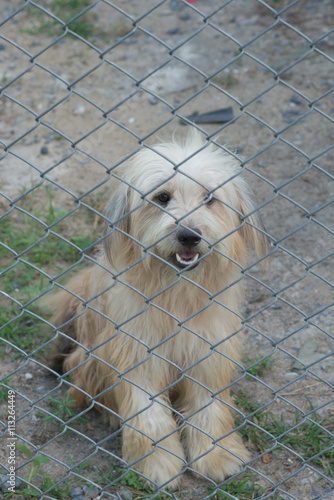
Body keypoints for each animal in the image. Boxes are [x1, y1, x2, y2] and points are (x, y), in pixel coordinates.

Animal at [50, 131, 268, 490]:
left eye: (209, 197)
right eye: (162, 197)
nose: (188, 235)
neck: (175, 293)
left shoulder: (208, 352)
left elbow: (209, 408)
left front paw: (216, 455)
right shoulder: (136, 353)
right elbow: (147, 415)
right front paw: (156, 464)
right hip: (91, 358)